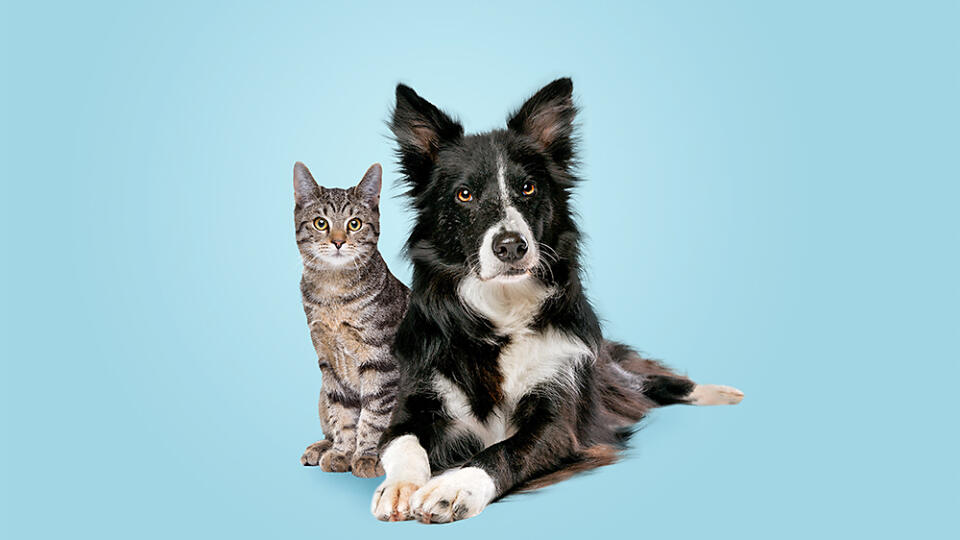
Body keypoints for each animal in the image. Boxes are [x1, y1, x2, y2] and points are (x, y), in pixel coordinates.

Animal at [294, 160, 410, 476]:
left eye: (354, 223)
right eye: (321, 223)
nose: (337, 242)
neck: (334, 295)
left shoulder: (381, 362)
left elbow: (374, 415)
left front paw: (367, 456)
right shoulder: (328, 363)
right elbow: (343, 415)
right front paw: (342, 452)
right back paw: (321, 448)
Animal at [370, 78, 744, 520]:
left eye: (528, 188)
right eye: (464, 195)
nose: (511, 246)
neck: (501, 312)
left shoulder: (558, 419)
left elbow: (504, 450)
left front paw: (455, 485)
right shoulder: (412, 403)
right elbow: (402, 443)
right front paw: (400, 487)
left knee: (650, 382)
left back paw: (717, 392)